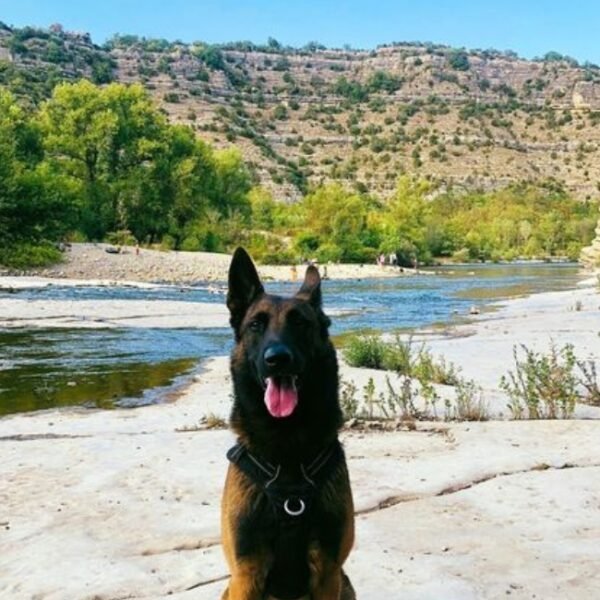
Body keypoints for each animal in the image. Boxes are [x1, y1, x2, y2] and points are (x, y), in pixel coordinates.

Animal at [221, 248, 356, 600]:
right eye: (256, 324)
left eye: (300, 323)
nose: (277, 359)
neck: (287, 448)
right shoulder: (245, 576)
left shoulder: (328, 574)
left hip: (346, 583)